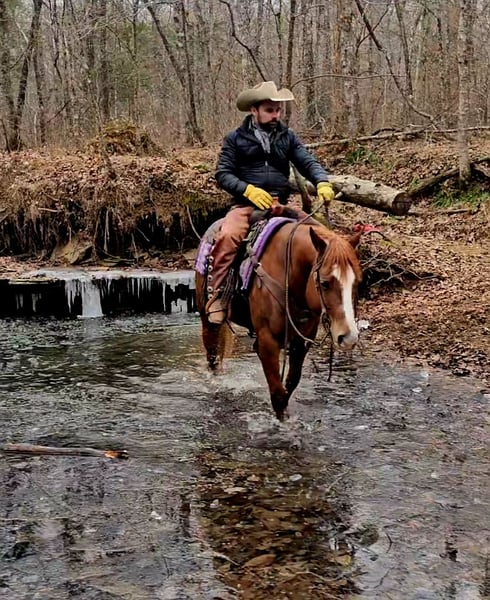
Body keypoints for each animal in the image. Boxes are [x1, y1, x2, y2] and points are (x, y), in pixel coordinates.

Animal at [195, 217, 362, 421]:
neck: (288, 273)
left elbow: (290, 383)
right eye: (324, 283)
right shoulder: (268, 341)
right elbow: (277, 393)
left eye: (357, 282)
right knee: (212, 356)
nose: (349, 337)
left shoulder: (302, 341)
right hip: (207, 320)